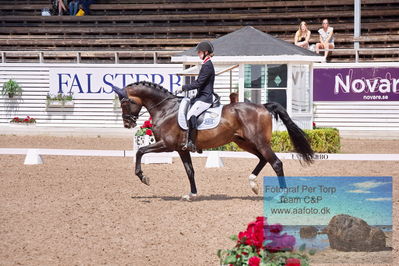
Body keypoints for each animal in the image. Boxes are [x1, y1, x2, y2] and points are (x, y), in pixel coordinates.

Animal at [114, 81, 314, 200]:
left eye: (124, 103)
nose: (127, 123)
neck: (166, 109)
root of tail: (263, 106)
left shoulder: (167, 145)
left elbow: (140, 151)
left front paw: (143, 177)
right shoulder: (181, 149)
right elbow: (190, 171)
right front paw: (192, 194)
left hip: (259, 142)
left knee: (276, 162)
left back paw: (281, 194)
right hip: (244, 142)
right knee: (263, 159)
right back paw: (253, 184)